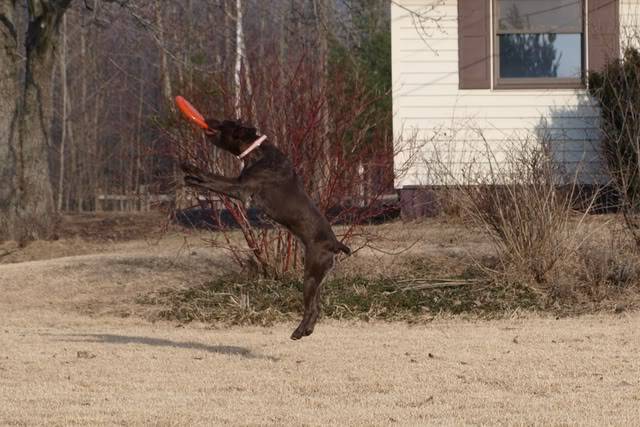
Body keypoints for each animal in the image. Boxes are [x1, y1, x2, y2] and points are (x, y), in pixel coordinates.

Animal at [180, 118, 350, 340]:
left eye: (224, 123)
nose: (209, 119)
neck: (256, 151)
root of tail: (334, 244)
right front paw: (190, 177)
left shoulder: (239, 187)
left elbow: (213, 179)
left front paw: (192, 169)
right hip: (318, 279)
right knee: (317, 308)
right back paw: (307, 331)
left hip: (310, 276)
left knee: (311, 308)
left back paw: (298, 332)